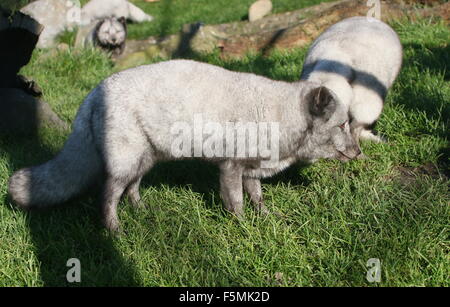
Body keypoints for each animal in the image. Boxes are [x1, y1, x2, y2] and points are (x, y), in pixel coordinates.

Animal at [8, 59, 360, 233]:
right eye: (342, 125)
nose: (359, 152)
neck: (277, 114)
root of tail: (95, 91)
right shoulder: (230, 167)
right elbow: (237, 204)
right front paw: (244, 229)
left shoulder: (252, 169)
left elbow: (257, 197)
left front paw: (266, 216)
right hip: (125, 161)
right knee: (107, 195)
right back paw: (114, 230)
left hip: (146, 159)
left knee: (132, 188)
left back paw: (142, 211)